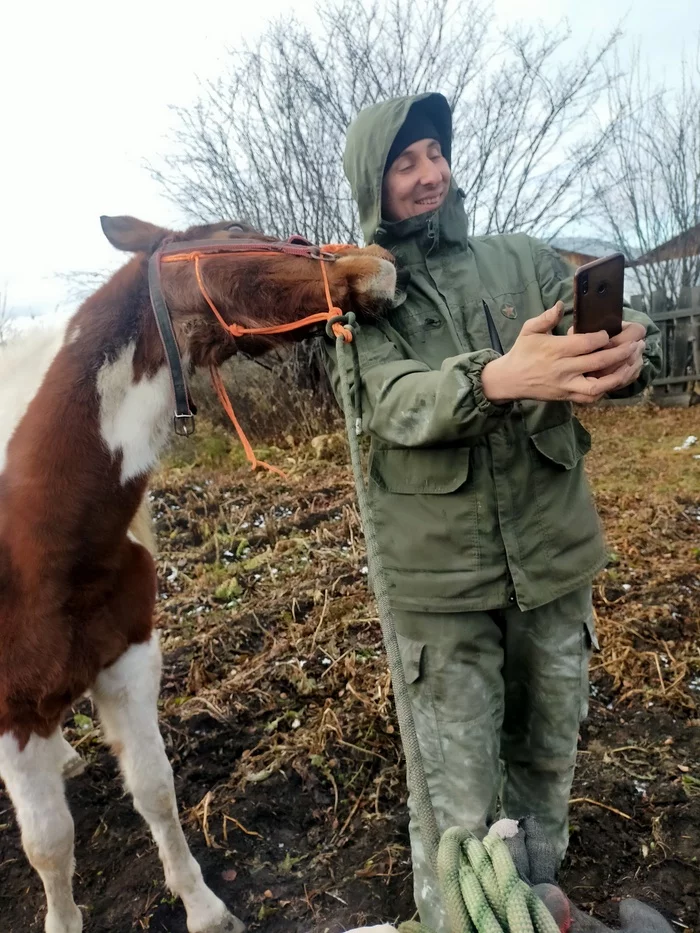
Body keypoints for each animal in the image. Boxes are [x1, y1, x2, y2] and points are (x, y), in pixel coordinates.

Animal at [0, 217, 394, 932]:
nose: (376, 260)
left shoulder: (127, 662)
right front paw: (63, 919)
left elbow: (155, 791)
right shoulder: (13, 712)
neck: (32, 526)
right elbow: (48, 844)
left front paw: (204, 908)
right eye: (236, 234)